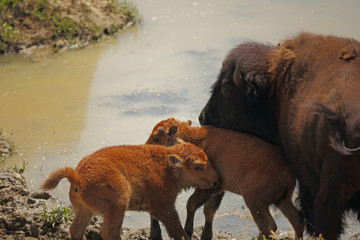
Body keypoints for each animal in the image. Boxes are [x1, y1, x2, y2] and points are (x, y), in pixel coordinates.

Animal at [40, 142, 218, 240]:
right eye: (197, 167)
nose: (217, 179)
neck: (167, 166)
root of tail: (78, 177)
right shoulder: (164, 206)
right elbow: (176, 229)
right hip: (118, 204)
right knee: (109, 233)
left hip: (84, 210)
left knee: (76, 230)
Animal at [146, 118, 304, 240]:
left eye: (156, 137)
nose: (147, 148)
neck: (194, 140)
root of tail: (286, 173)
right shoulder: (218, 190)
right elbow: (208, 210)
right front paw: (205, 235)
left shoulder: (212, 187)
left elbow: (192, 204)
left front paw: (189, 231)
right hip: (283, 201)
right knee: (296, 220)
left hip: (255, 202)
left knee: (269, 226)